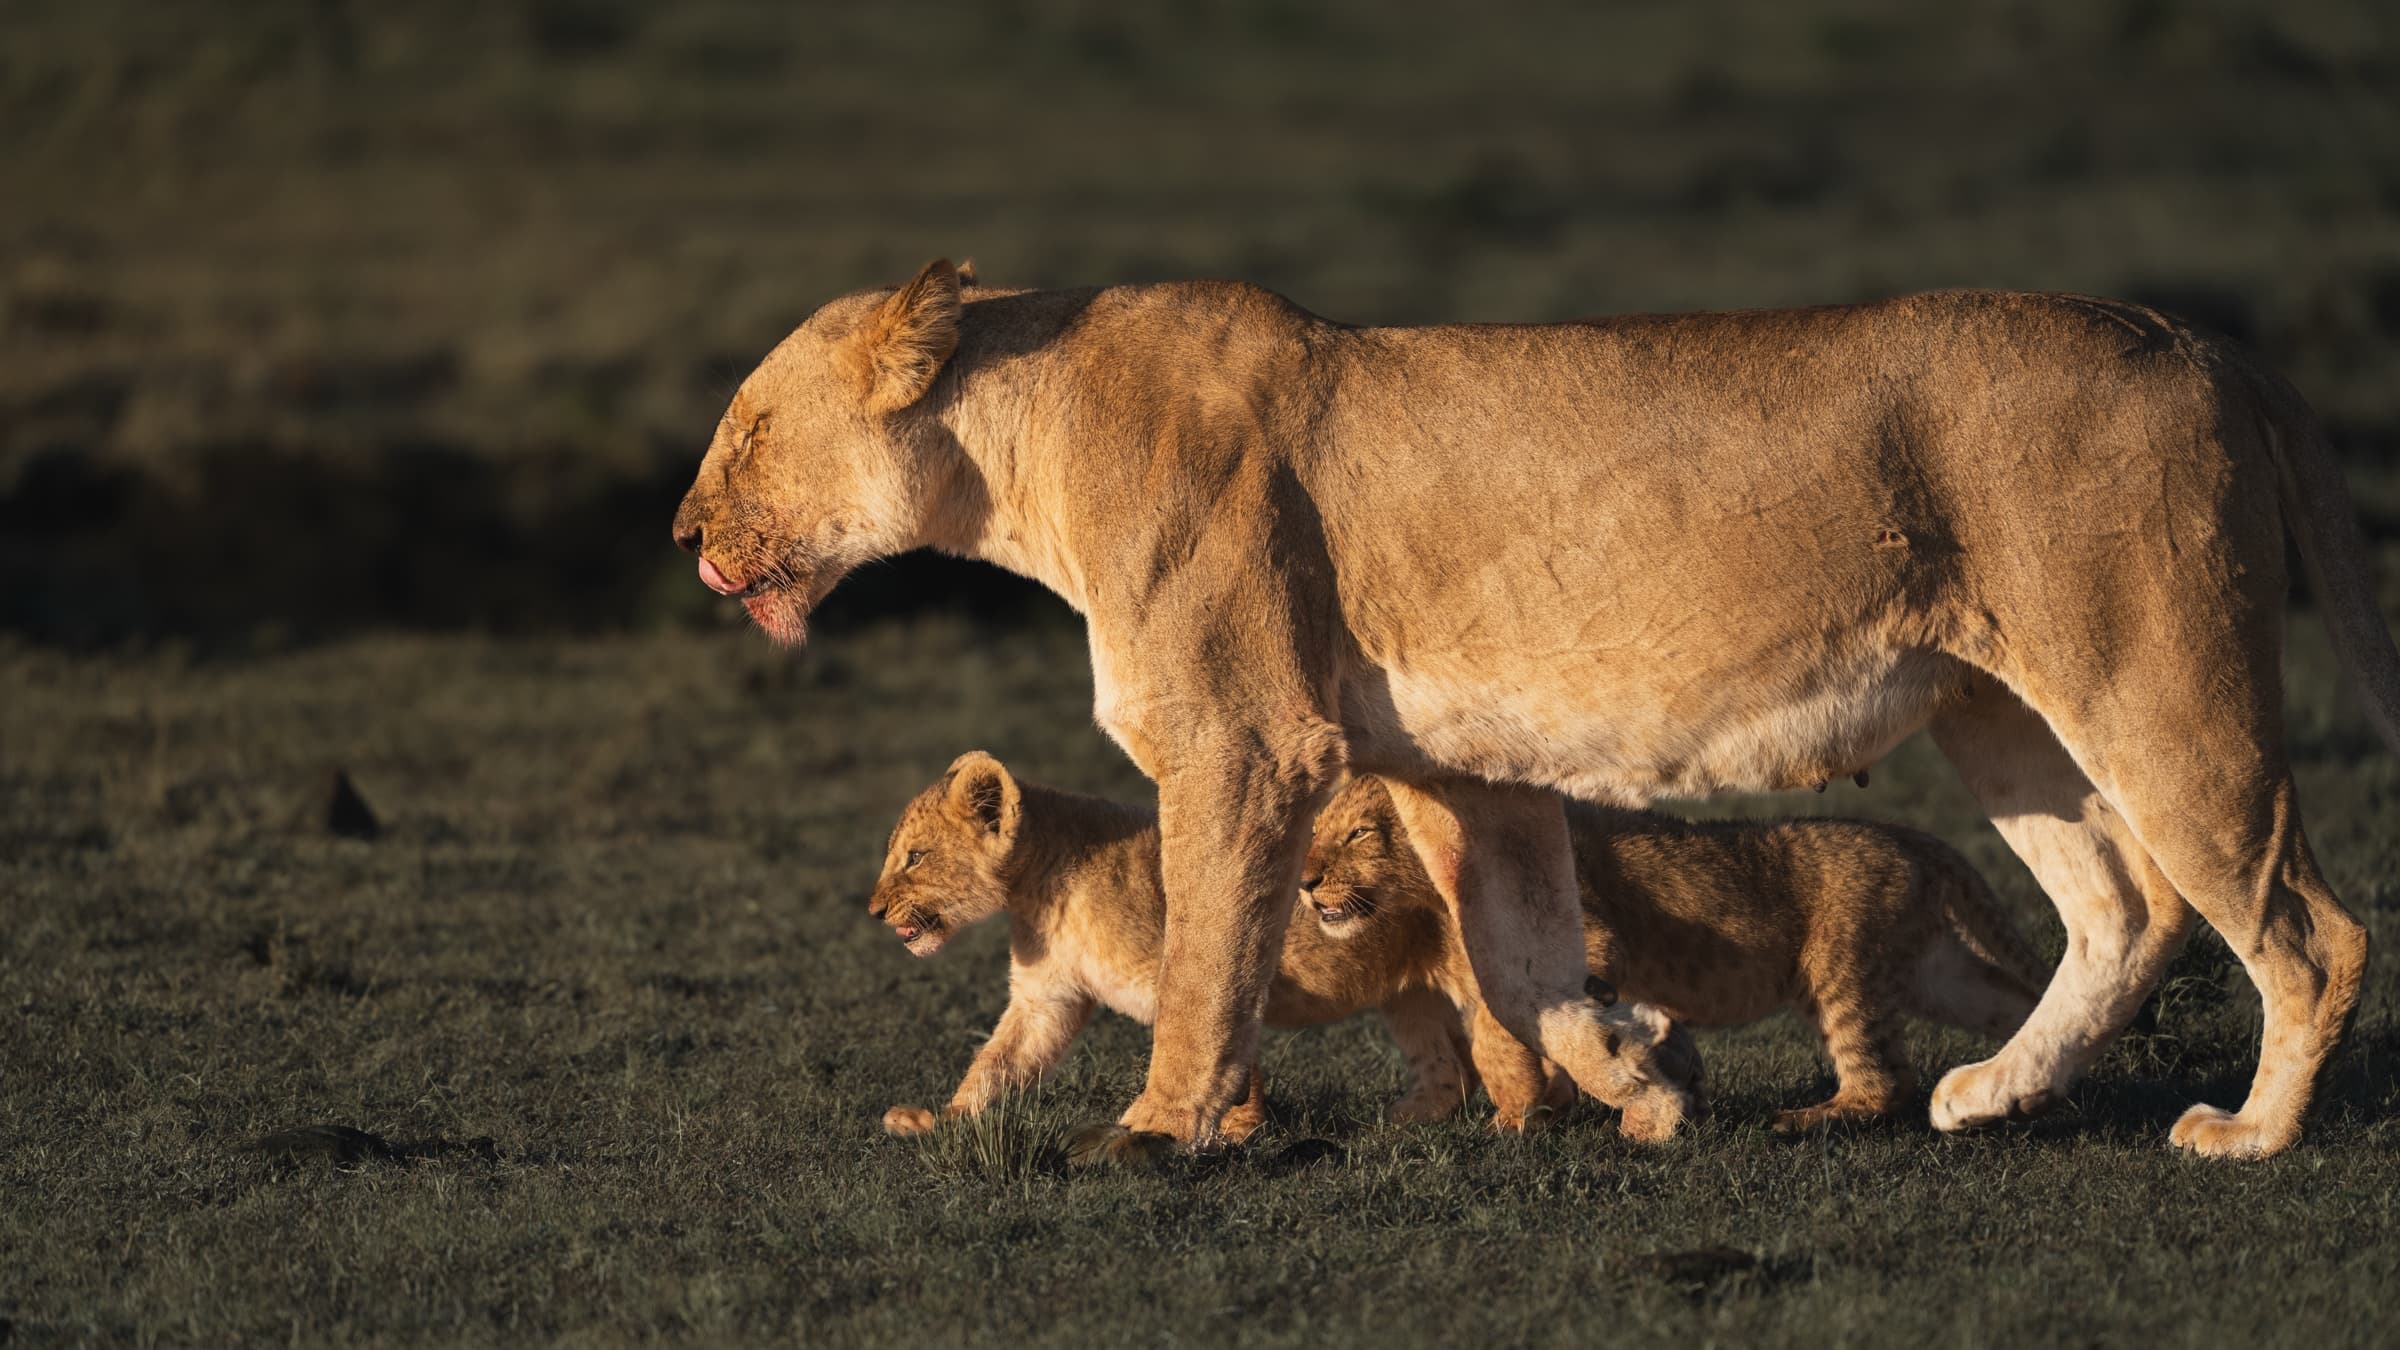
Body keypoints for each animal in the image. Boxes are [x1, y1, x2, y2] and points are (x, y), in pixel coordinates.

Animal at [868, 752, 1695, 1141]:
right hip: (1410, 993)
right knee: (1449, 1068)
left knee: (1521, 1049)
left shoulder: (1191, 962)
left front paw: (1228, 1131)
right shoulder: (1047, 998)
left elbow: (1215, 1045)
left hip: (1482, 972)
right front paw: (942, 1121)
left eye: (914, 857)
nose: (874, 910)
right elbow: (998, 1064)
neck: (1046, 890)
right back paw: (1407, 1125)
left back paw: (1527, 1120)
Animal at [1302, 776, 2044, 1131]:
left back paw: (1804, 1121)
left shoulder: (1583, 940)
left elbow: (1504, 1022)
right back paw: (2026, 1086)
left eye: (1359, 834)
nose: (1305, 884)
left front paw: (1523, 1112)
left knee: (1881, 1082)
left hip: (1843, 971)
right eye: (1315, 833)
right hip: (1934, 973)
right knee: (2006, 1001)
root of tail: (1911, 837)